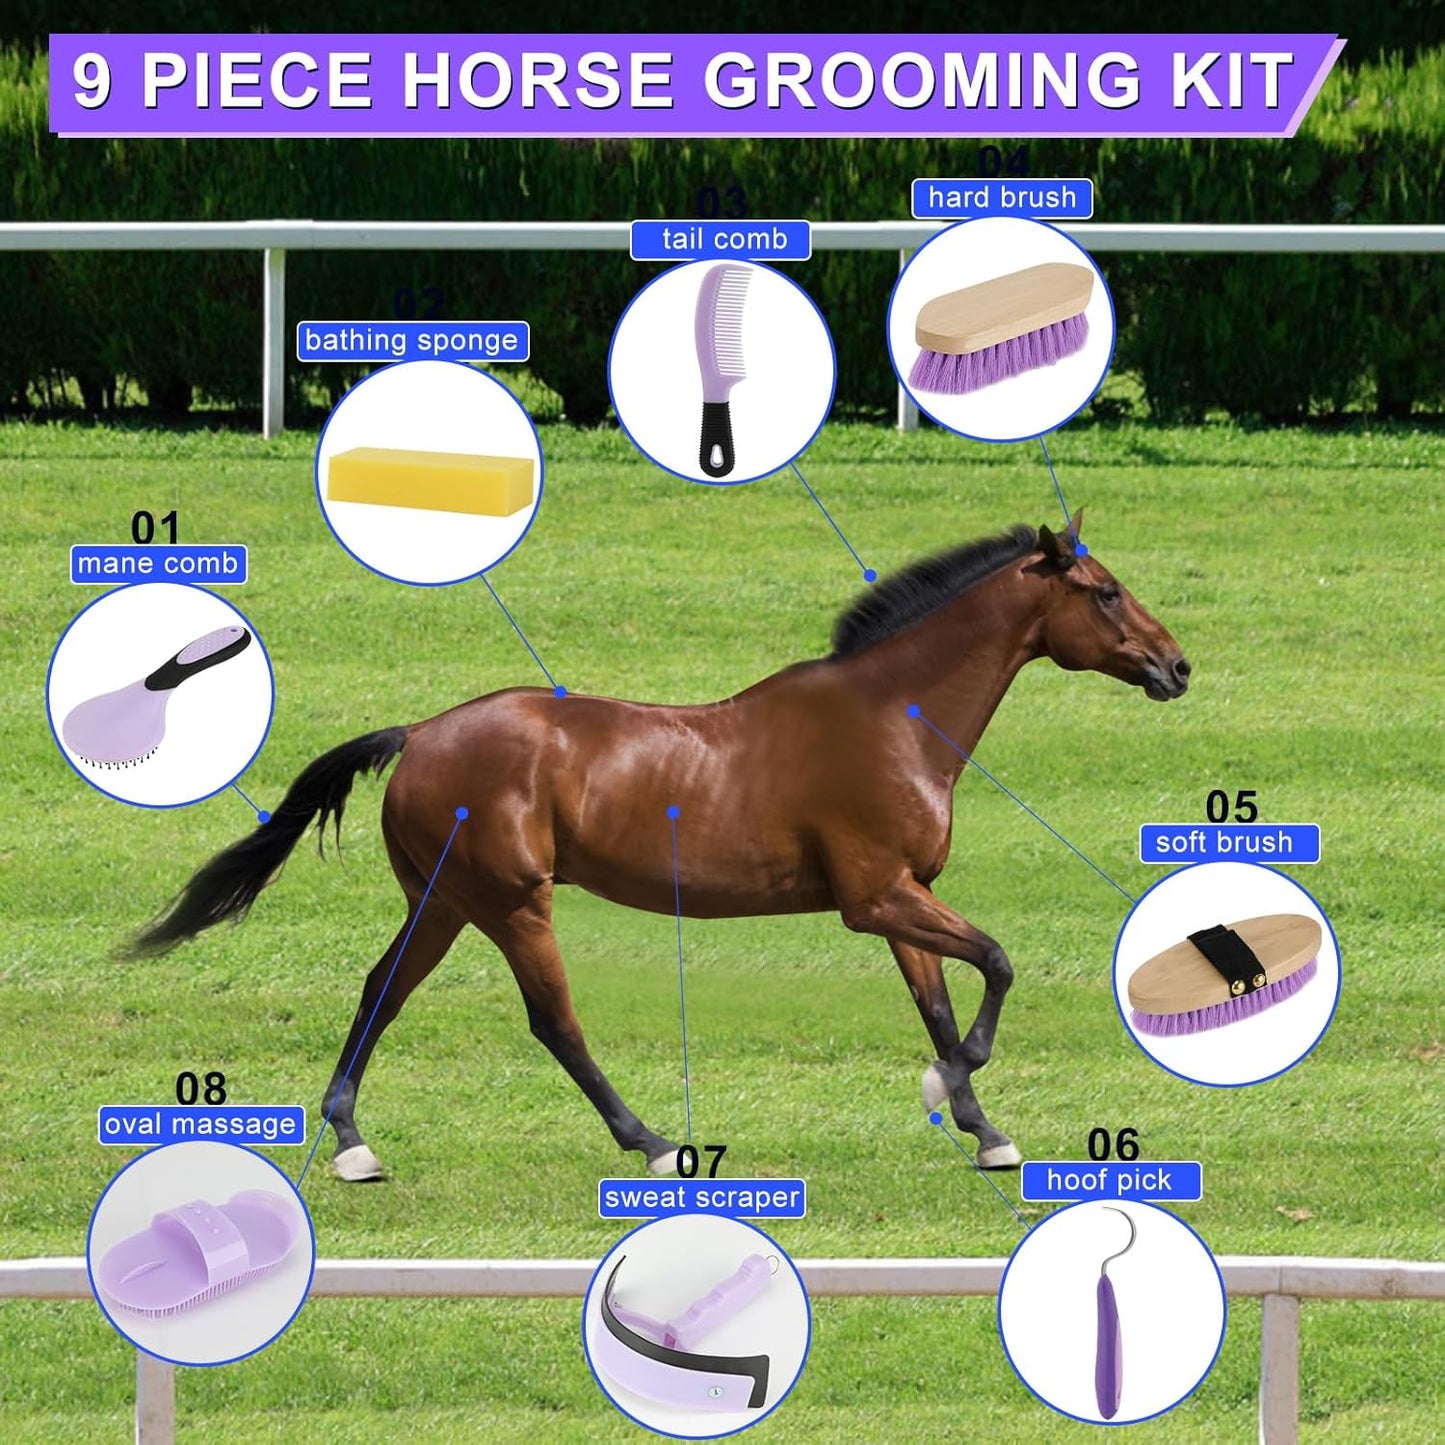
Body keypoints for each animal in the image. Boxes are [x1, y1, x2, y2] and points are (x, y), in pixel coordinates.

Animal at [132, 512, 1189, 1181]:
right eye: (1103, 593)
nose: (1176, 667)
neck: (892, 717)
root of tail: (421, 733)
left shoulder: (902, 894)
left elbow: (937, 1002)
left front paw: (981, 1128)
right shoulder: (874, 895)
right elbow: (997, 965)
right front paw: (956, 1083)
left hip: (445, 902)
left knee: (380, 991)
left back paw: (353, 1143)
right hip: (510, 901)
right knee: (552, 1021)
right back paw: (648, 1141)